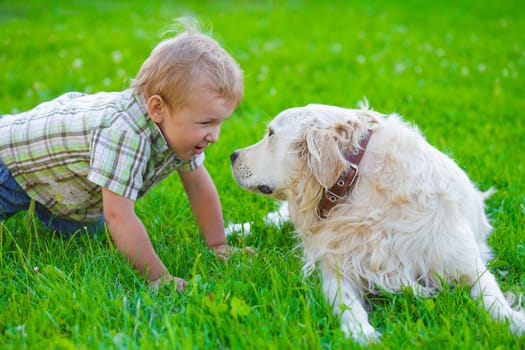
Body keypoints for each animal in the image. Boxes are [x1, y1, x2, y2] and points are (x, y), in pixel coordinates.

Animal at [229, 102, 524, 344]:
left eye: (270, 134)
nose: (232, 155)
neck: (357, 187)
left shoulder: (461, 260)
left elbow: (491, 295)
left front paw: (512, 320)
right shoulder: (338, 268)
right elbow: (347, 302)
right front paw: (360, 332)